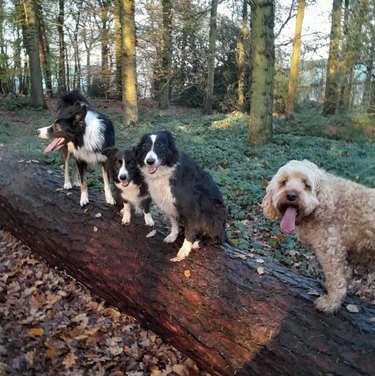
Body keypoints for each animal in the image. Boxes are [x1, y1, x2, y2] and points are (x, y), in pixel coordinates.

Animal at [136, 129, 228, 262]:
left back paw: (198, 243)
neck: (166, 171)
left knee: (219, 237)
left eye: (160, 146)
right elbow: (174, 222)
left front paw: (184, 250)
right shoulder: (169, 203)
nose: (150, 161)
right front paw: (173, 235)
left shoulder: (189, 207)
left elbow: (189, 231)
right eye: (145, 146)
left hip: (210, 212)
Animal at [262, 160, 375, 312]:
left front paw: (330, 303)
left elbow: (336, 280)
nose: (291, 195)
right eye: (284, 182)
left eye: (306, 185)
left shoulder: (331, 251)